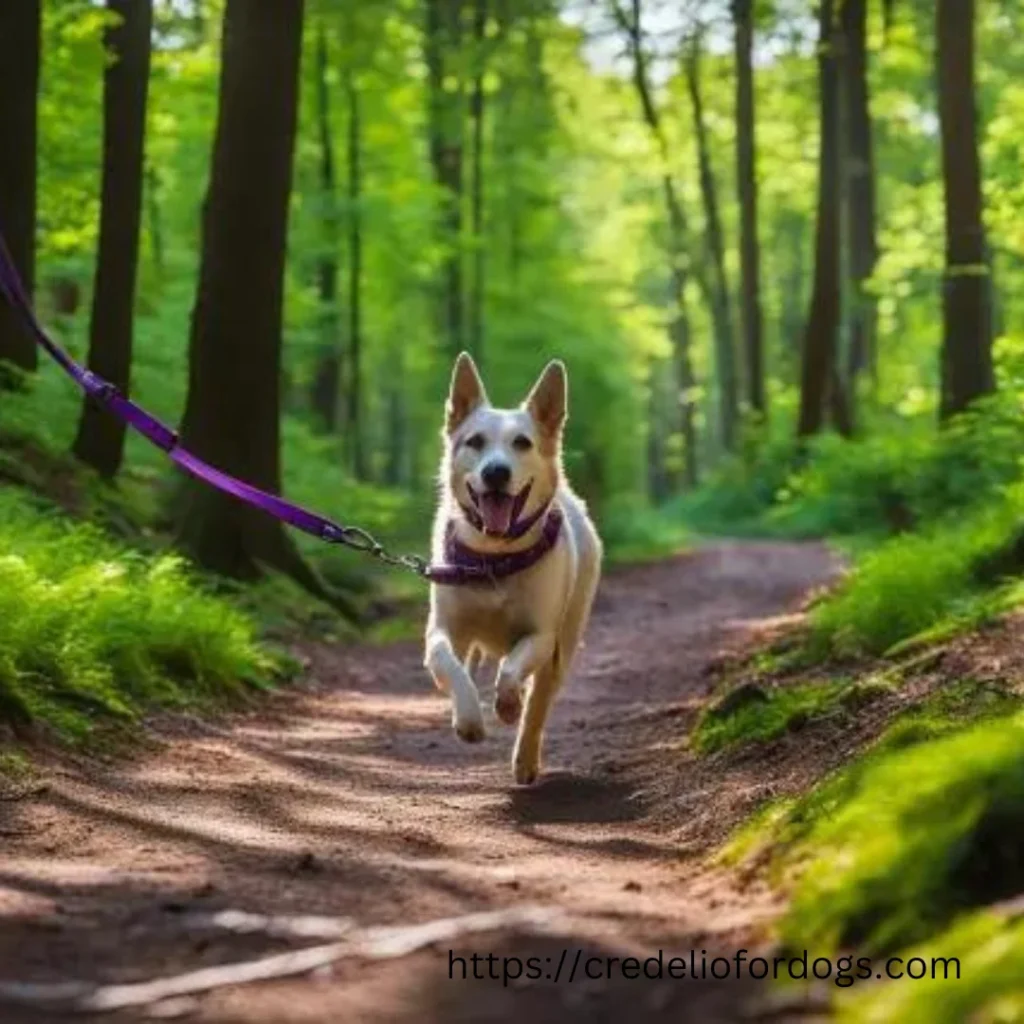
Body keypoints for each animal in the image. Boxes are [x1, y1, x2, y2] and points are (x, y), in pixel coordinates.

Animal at [421, 352, 598, 782]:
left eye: (522, 443)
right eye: (475, 442)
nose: (496, 472)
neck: (493, 557)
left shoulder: (541, 635)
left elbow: (512, 671)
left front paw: (507, 704)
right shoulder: (442, 629)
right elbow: (451, 666)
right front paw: (469, 718)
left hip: (564, 646)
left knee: (539, 703)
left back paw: (526, 757)